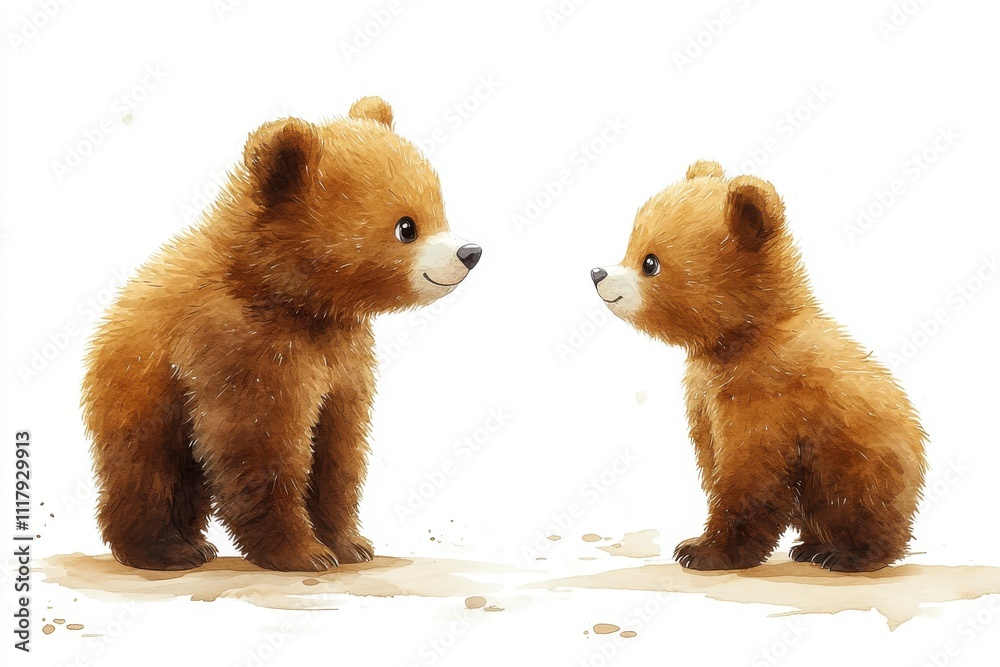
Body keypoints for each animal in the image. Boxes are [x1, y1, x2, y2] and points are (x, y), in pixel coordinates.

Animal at [81, 96, 482, 572]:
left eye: (440, 208)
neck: (293, 298)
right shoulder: (244, 348)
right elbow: (261, 445)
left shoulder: (342, 357)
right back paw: (165, 549)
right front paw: (303, 552)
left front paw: (350, 543)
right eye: (407, 226)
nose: (470, 252)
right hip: (144, 393)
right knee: (150, 470)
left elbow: (338, 448)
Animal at [590, 160, 927, 572]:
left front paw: (705, 550)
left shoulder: (767, 396)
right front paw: (699, 543)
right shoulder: (706, 394)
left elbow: (749, 475)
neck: (738, 339)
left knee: (858, 504)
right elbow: (713, 462)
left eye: (649, 262)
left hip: (861, 462)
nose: (597, 273)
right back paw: (811, 546)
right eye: (630, 246)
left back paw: (847, 553)